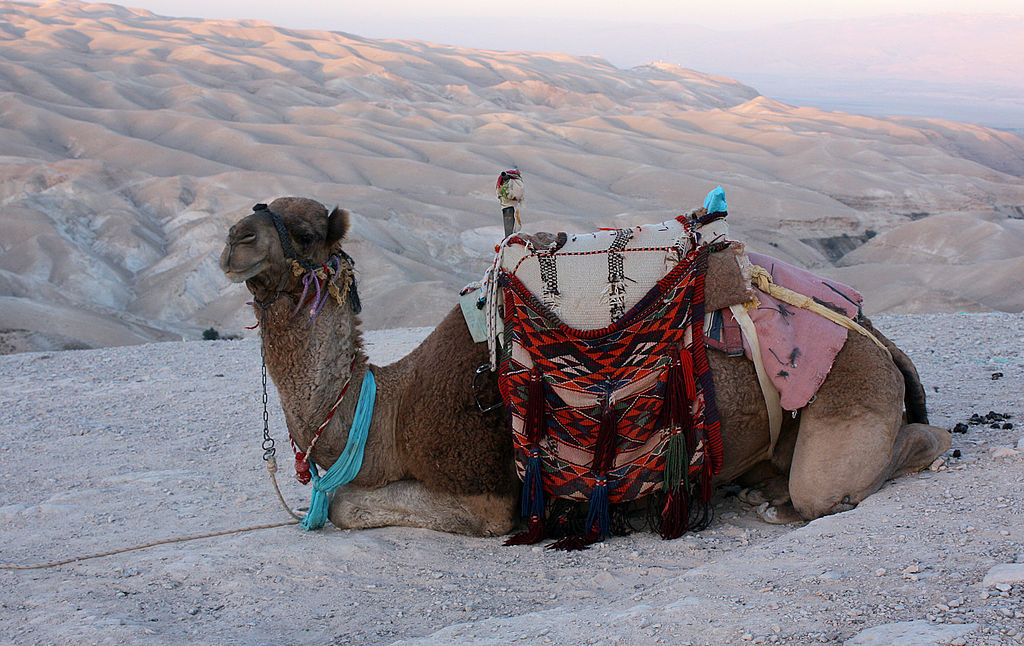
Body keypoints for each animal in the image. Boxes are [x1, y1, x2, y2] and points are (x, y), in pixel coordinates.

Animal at [219, 197, 951, 537]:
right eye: (259, 211)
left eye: (306, 232)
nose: (235, 239)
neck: (390, 414)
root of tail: (875, 336)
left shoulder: (492, 495)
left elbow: (344, 506)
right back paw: (753, 492)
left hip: (849, 385)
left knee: (845, 478)